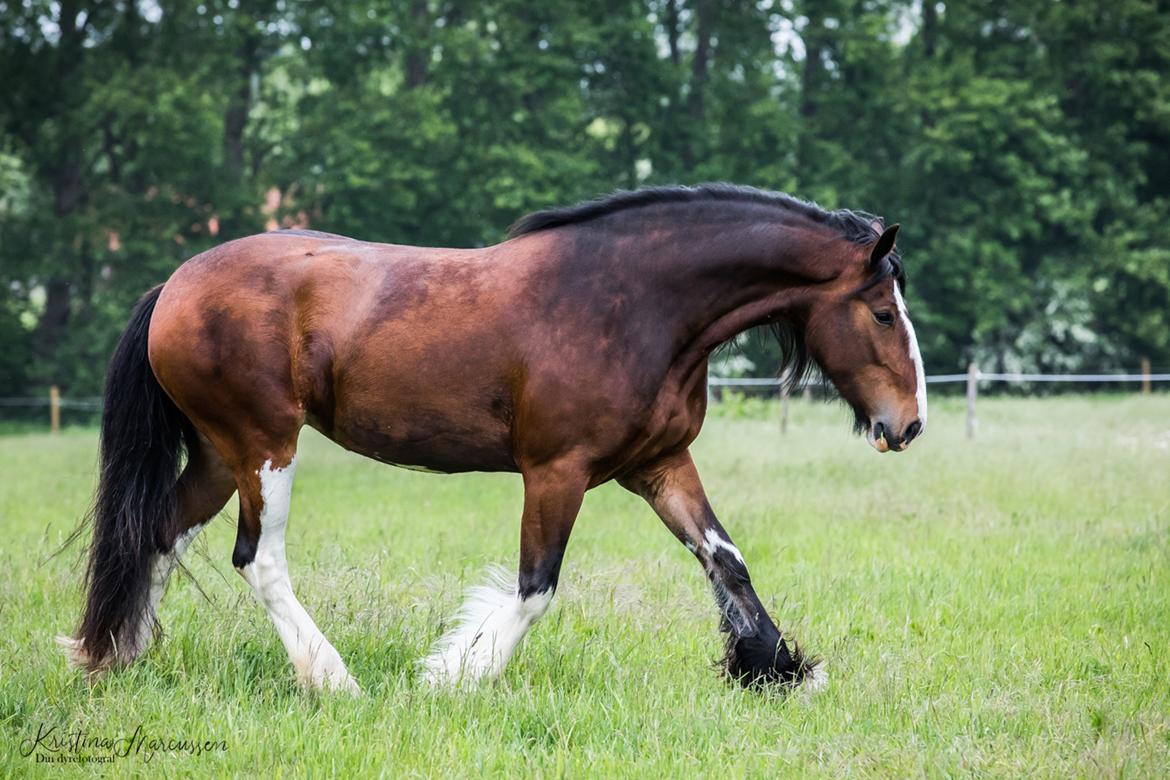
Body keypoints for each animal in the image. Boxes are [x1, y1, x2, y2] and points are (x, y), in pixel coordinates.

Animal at [61, 184, 921, 696]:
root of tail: (175, 285)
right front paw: (454, 676)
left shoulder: (658, 464)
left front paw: (776, 667)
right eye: (882, 312)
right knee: (258, 559)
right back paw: (334, 680)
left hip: (217, 455)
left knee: (154, 534)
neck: (633, 302)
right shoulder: (556, 472)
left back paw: (112, 657)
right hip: (264, 446)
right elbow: (534, 587)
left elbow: (726, 560)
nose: (906, 425)